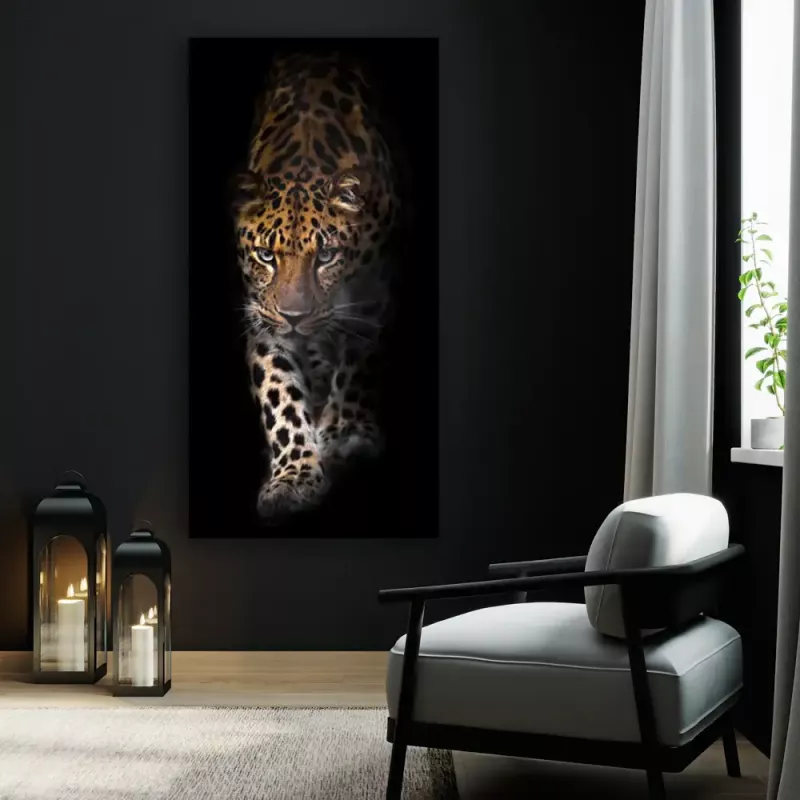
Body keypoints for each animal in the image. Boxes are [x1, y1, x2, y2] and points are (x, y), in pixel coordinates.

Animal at [231, 51, 402, 522]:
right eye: (266, 256)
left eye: (325, 257)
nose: (295, 316)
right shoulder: (263, 319)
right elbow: (280, 395)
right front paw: (292, 478)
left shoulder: (372, 298)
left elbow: (359, 359)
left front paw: (345, 432)